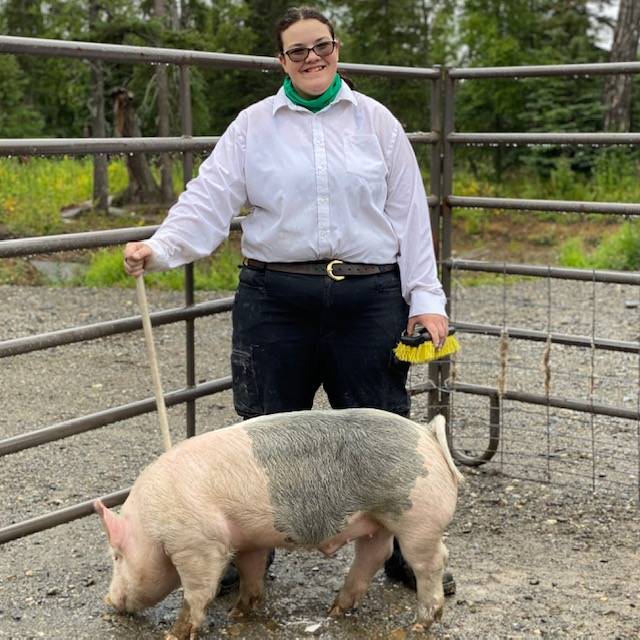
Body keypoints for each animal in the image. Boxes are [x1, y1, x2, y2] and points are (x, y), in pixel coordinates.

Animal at [95, 408, 463, 639]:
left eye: (116, 555)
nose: (108, 601)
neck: (151, 527)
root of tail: (428, 435)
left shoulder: (197, 546)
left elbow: (198, 592)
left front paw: (177, 634)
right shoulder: (247, 541)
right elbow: (251, 573)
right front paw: (239, 613)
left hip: (416, 519)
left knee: (431, 562)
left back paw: (420, 624)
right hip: (377, 521)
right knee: (374, 555)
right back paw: (335, 610)